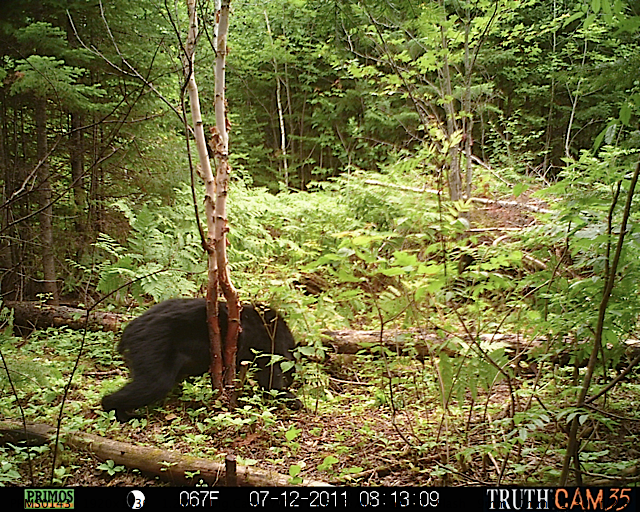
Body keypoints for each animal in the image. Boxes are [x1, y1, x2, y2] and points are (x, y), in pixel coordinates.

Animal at [100, 298, 300, 422]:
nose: (291, 381)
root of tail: (128, 331)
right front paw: (292, 399)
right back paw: (121, 412)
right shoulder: (266, 346)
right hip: (152, 346)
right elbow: (269, 380)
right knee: (153, 384)